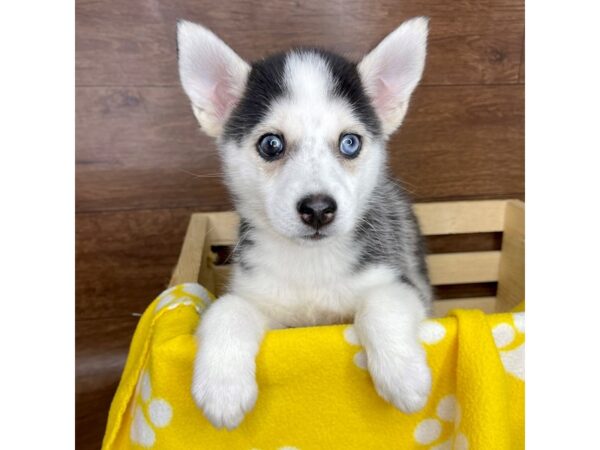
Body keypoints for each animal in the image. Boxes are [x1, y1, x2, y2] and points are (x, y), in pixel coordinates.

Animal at [176, 18, 434, 428]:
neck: (310, 265)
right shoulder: (260, 297)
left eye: (349, 143)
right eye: (271, 145)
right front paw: (222, 387)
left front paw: (403, 374)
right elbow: (227, 309)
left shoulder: (404, 285)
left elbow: (381, 303)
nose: (317, 209)